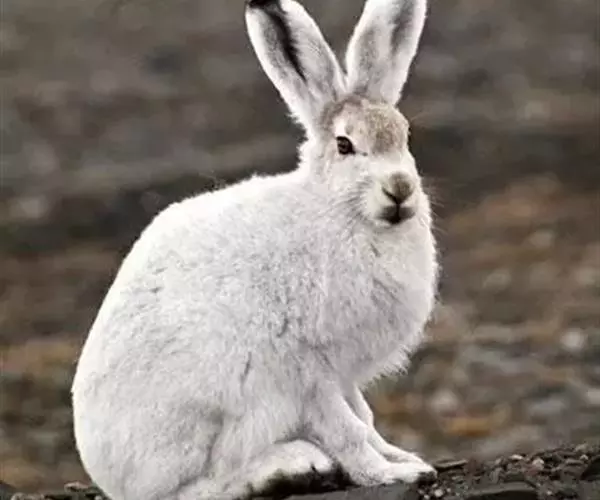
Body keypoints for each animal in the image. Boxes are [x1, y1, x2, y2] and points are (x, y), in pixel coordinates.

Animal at [71, 0, 438, 499]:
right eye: (345, 145)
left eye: (404, 136)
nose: (400, 189)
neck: (338, 209)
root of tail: (112, 478)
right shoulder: (307, 371)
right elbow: (347, 429)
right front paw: (393, 474)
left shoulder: (342, 377)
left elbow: (366, 417)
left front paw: (404, 457)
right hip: (227, 411)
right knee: (203, 486)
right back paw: (291, 466)